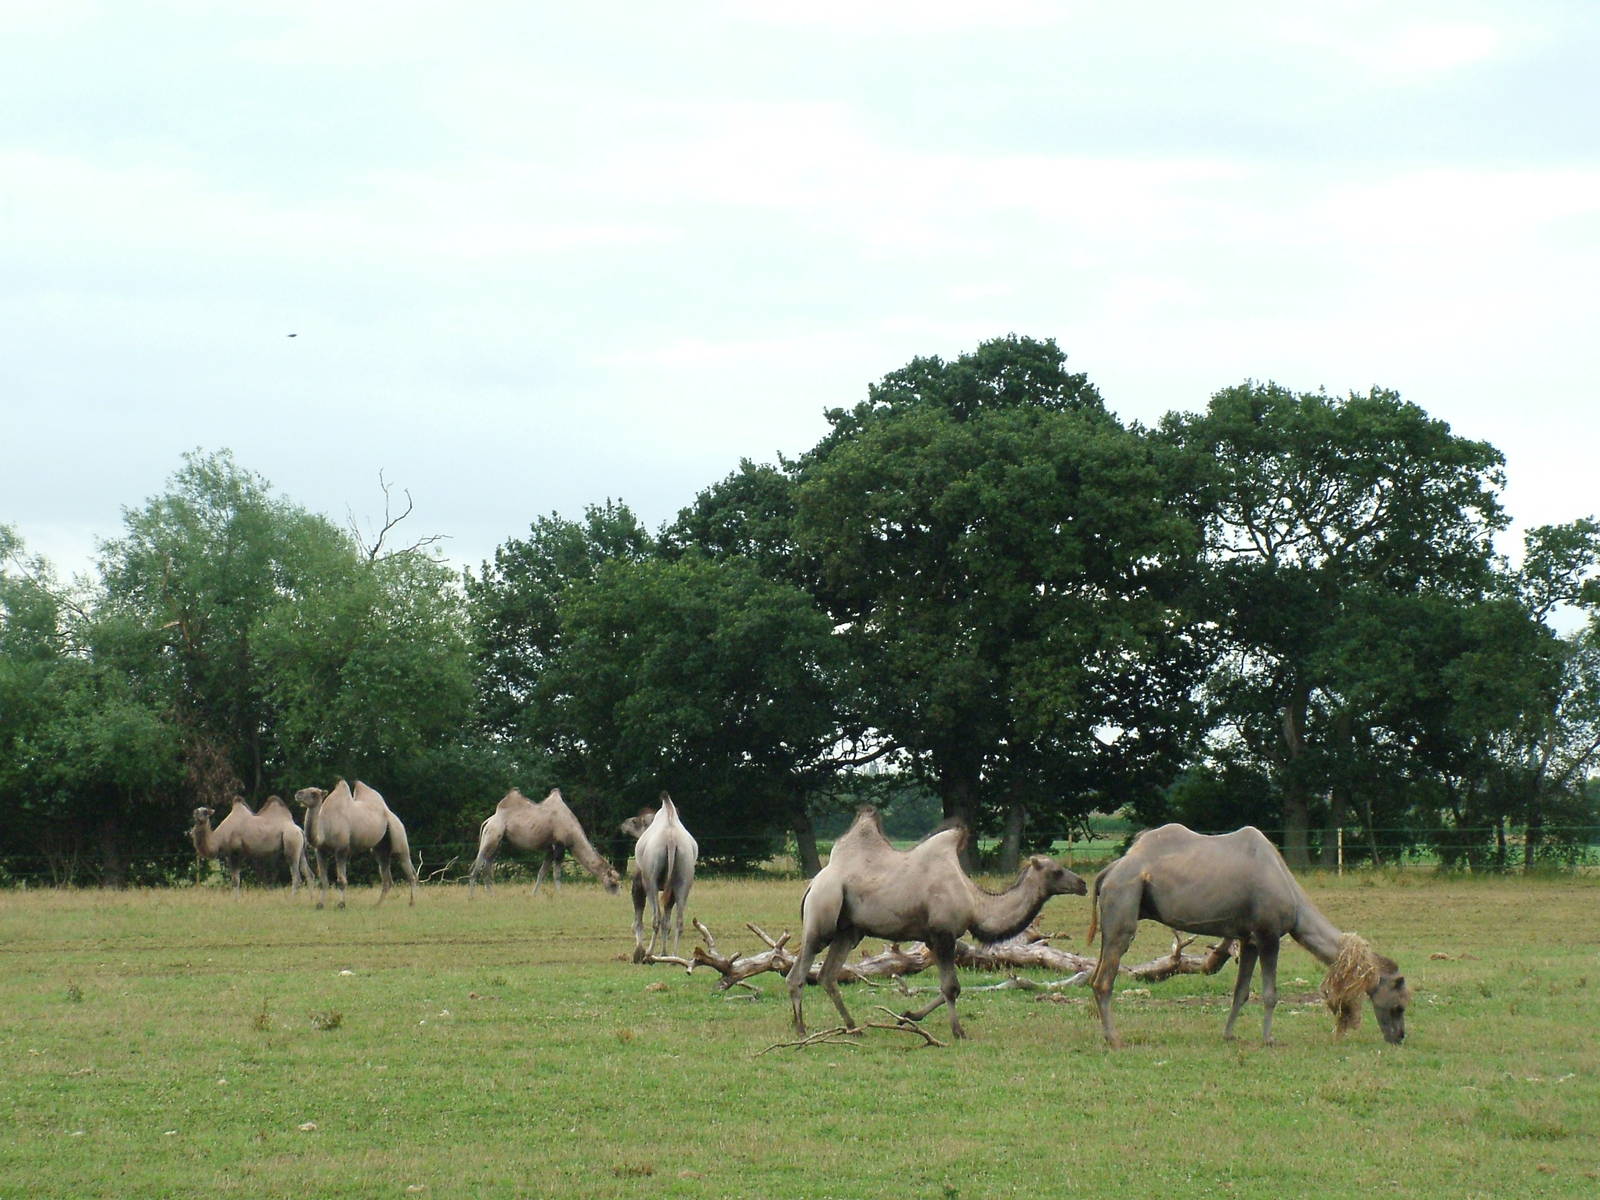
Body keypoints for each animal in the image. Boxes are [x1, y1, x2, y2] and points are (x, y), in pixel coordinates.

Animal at [294, 780, 418, 909]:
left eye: (314, 793)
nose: (298, 794)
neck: (325, 828)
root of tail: (393, 816)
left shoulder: (342, 849)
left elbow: (341, 880)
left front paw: (341, 904)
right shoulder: (320, 850)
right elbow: (323, 880)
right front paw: (320, 904)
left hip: (399, 835)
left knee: (408, 868)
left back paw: (412, 903)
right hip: (381, 848)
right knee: (386, 875)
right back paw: (377, 905)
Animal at [466, 787, 621, 896]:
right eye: (613, 883)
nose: (617, 895)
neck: (573, 833)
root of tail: (489, 820)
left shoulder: (550, 849)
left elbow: (542, 873)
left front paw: (534, 895)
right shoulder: (559, 846)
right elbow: (557, 874)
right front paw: (561, 895)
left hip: (498, 842)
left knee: (487, 865)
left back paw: (491, 895)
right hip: (491, 835)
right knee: (477, 864)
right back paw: (472, 897)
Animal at [629, 794, 698, 962]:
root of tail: (671, 840)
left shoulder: (638, 884)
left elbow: (637, 921)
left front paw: (638, 952)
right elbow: (668, 921)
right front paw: (664, 953)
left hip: (651, 881)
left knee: (656, 919)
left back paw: (648, 955)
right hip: (684, 877)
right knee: (678, 920)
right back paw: (673, 958)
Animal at [786, 808, 1088, 1040]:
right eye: (1056, 871)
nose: (1083, 884)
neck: (974, 902)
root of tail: (813, 883)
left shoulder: (933, 938)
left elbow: (948, 987)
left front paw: (907, 1016)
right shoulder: (944, 934)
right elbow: (952, 987)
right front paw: (959, 1032)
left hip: (849, 931)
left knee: (827, 975)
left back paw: (853, 1027)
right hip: (823, 915)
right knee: (798, 972)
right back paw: (801, 1028)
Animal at [1087, 823, 1410, 1047]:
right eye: (1399, 1004)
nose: (1399, 1037)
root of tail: (1108, 872)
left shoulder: (1248, 938)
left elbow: (1240, 992)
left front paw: (1229, 1035)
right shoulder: (1269, 934)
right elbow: (1269, 994)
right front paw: (1269, 1039)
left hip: (1112, 920)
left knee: (1096, 975)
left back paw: (1106, 1034)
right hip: (1125, 905)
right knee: (1105, 980)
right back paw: (1115, 1039)